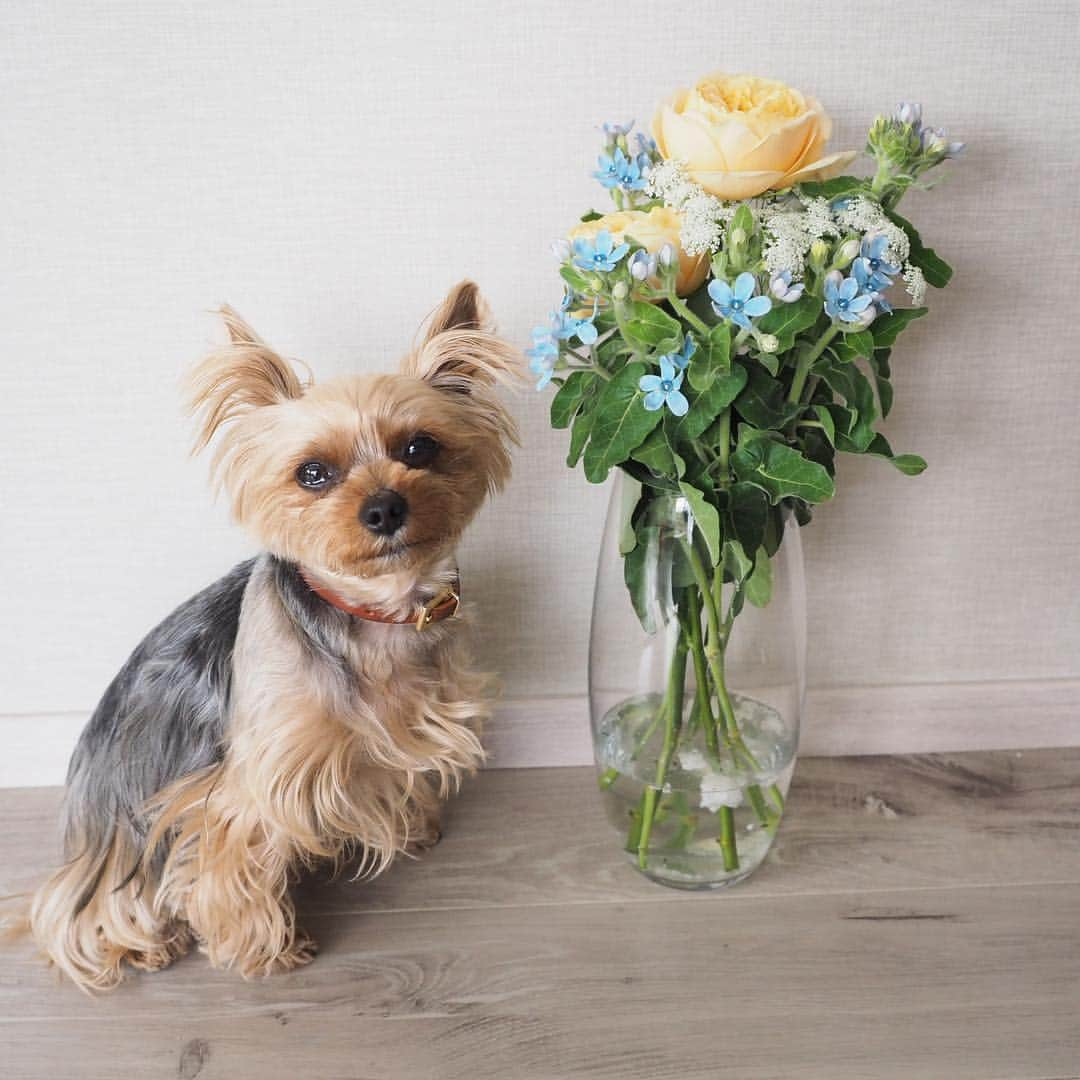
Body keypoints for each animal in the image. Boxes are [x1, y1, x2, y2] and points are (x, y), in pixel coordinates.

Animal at [22, 282, 518, 989]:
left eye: (419, 448)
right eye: (312, 473)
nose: (384, 508)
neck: (373, 616)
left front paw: (417, 827)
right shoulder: (251, 778)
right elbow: (231, 856)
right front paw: (264, 951)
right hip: (118, 840)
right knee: (77, 912)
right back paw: (145, 945)